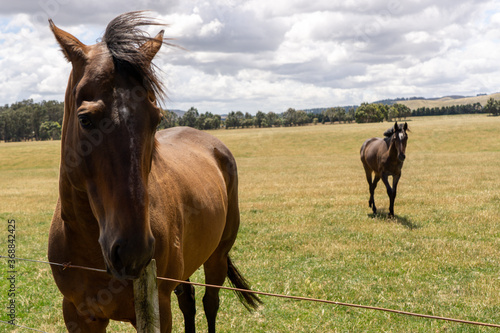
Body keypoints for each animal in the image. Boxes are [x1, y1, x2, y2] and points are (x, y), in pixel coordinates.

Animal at [47, 11, 262, 330]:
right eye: (85, 119)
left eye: (156, 118)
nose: (133, 251)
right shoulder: (77, 314)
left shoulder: (156, 308)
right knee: (188, 300)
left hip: (218, 256)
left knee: (210, 303)